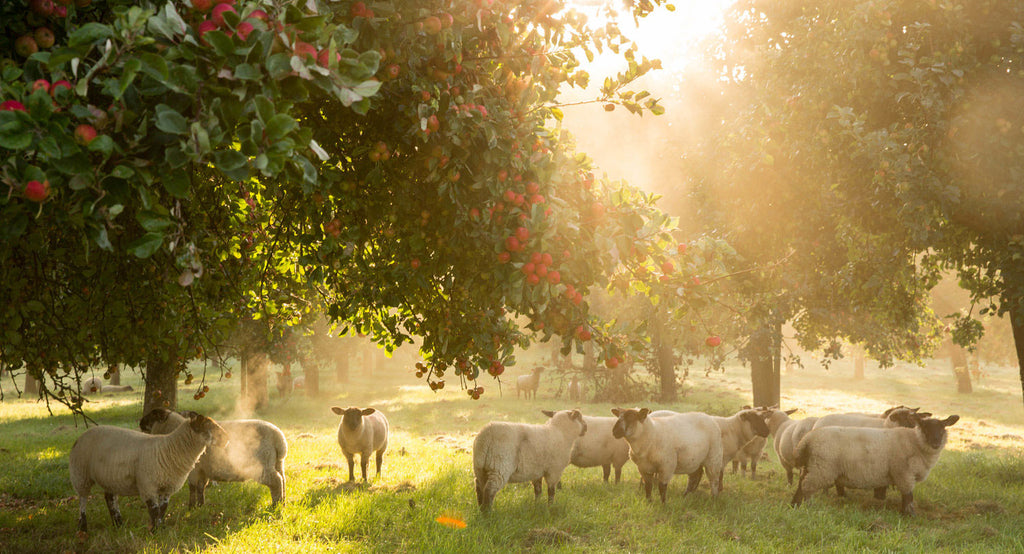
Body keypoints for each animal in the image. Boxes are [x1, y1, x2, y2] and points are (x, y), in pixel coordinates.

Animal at [69, 409, 228, 532]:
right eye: (208, 426)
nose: (227, 439)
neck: (170, 449)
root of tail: (81, 436)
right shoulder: (148, 485)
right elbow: (154, 509)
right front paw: (155, 531)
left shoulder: (167, 487)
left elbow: (163, 509)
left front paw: (160, 528)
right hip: (80, 473)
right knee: (83, 499)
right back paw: (83, 526)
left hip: (110, 478)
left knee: (110, 499)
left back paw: (118, 524)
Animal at [136, 405, 288, 505]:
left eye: (153, 415)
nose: (140, 422)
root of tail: (278, 437)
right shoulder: (203, 471)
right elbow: (201, 487)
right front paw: (200, 506)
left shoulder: (194, 470)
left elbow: (192, 487)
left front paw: (191, 507)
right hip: (277, 462)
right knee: (282, 479)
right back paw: (283, 501)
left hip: (261, 466)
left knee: (276, 480)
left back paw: (275, 505)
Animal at [790, 411, 958, 512]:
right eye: (924, 427)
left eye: (943, 428)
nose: (936, 442)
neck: (914, 442)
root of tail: (808, 439)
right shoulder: (903, 474)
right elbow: (908, 497)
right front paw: (909, 515)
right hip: (822, 469)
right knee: (806, 486)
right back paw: (804, 506)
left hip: (812, 465)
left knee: (800, 484)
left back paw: (794, 505)